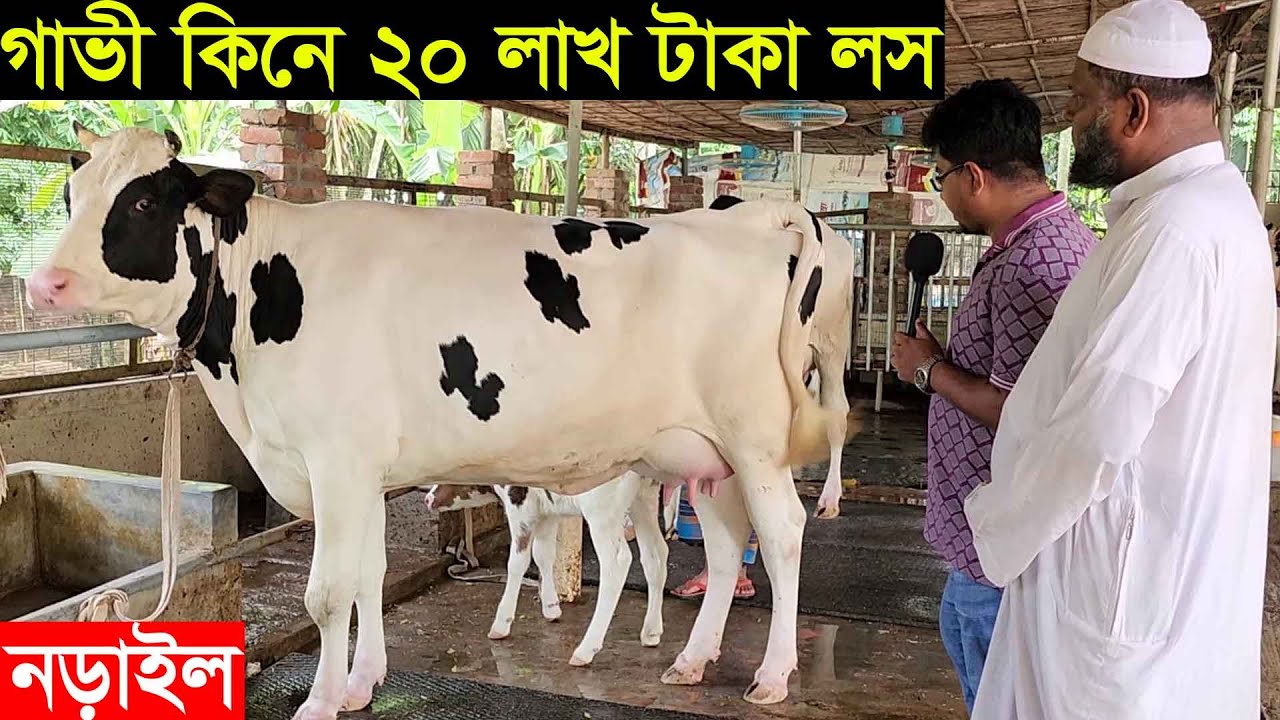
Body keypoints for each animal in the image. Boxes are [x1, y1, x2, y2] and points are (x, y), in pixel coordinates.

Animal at [423, 471, 670, 667]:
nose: (428, 498)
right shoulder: (548, 511)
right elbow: (543, 553)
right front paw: (551, 607)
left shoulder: (520, 505)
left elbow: (518, 561)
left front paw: (502, 623)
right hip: (643, 498)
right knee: (655, 554)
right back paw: (651, 632)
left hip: (602, 511)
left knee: (617, 563)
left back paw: (585, 650)